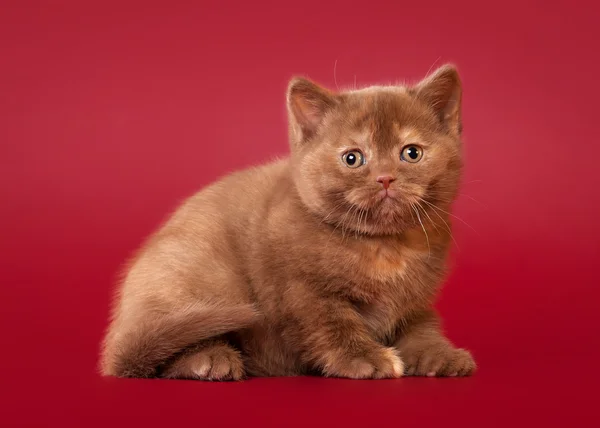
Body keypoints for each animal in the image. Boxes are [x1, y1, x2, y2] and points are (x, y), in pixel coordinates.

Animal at [102, 64, 478, 382]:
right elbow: (331, 323)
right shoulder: (299, 290)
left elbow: (421, 326)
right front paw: (366, 358)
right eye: (352, 158)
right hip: (202, 275)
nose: (385, 178)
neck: (384, 247)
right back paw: (210, 360)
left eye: (411, 153)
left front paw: (441, 355)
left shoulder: (415, 302)